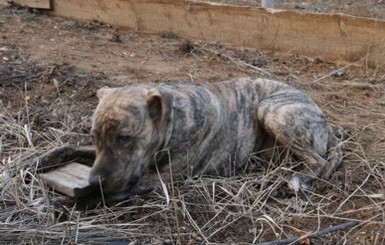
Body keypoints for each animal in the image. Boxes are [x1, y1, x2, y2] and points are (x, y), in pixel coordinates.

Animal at [88, 77, 342, 200]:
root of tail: (324, 120)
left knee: (320, 161)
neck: (174, 119)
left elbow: (119, 191)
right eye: (94, 136)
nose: (94, 181)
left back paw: (300, 179)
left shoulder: (163, 178)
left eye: (125, 138)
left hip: (270, 110)